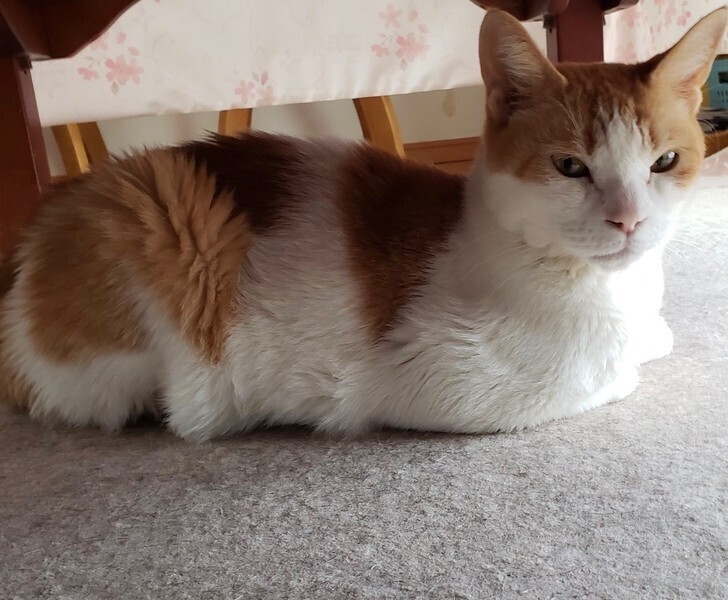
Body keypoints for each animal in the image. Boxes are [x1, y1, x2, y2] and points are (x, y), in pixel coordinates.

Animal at [0, 8, 725, 441]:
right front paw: (640, 348)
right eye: (571, 166)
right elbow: (620, 372)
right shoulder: (441, 383)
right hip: (158, 214)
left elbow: (651, 339)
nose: (628, 220)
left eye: (664, 162)